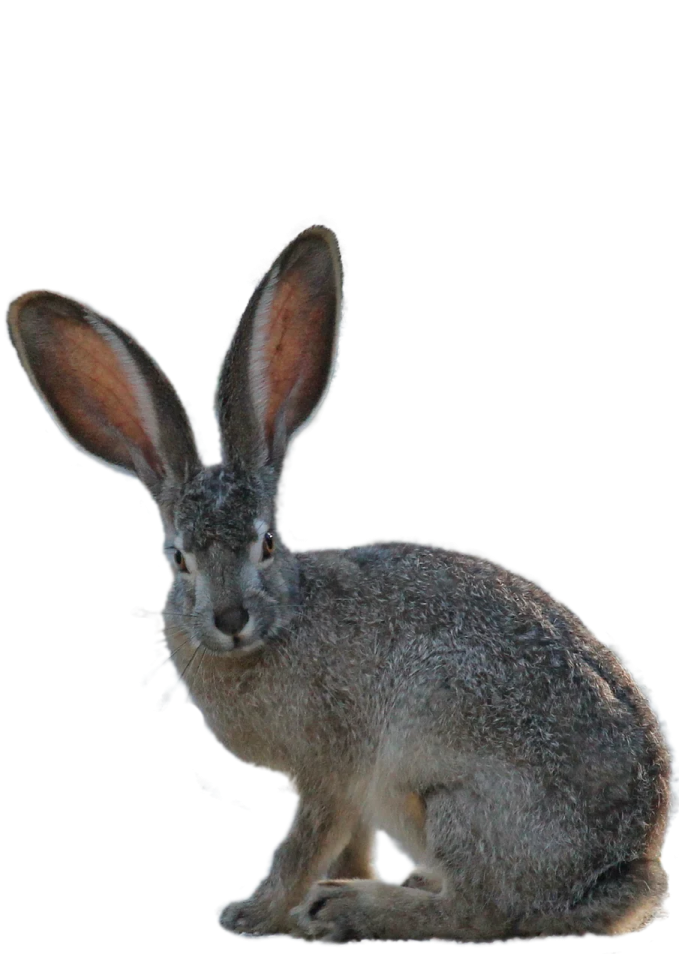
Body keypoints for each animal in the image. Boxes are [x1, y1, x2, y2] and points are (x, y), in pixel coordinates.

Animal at [4, 216, 676, 944]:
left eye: (267, 543)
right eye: (177, 559)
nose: (230, 618)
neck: (283, 619)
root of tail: (618, 876)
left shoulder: (331, 768)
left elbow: (303, 842)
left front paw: (254, 913)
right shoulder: (345, 789)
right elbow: (346, 843)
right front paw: (324, 889)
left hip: (454, 799)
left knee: (486, 909)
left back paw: (350, 911)